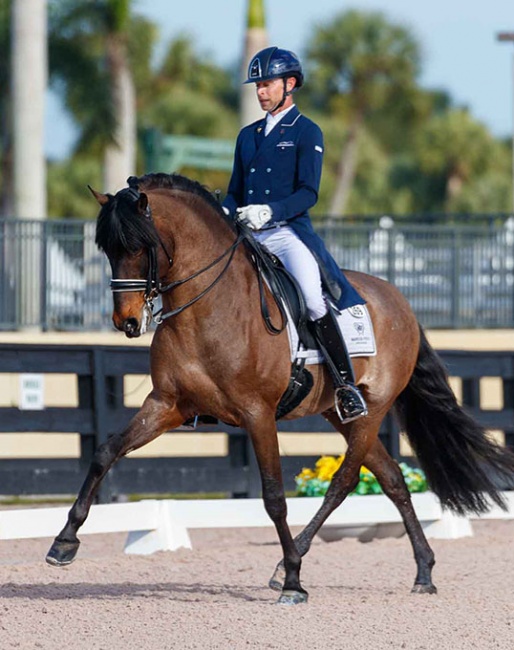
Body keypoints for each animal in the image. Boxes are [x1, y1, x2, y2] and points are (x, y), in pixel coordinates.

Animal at [45, 171, 512, 604]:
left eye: (140, 246)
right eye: (107, 249)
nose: (125, 321)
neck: (208, 308)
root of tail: (399, 301)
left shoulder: (258, 413)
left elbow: (274, 496)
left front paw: (293, 582)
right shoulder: (167, 405)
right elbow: (105, 452)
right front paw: (64, 543)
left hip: (373, 408)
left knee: (344, 480)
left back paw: (292, 565)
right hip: (339, 413)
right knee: (393, 478)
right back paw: (424, 572)